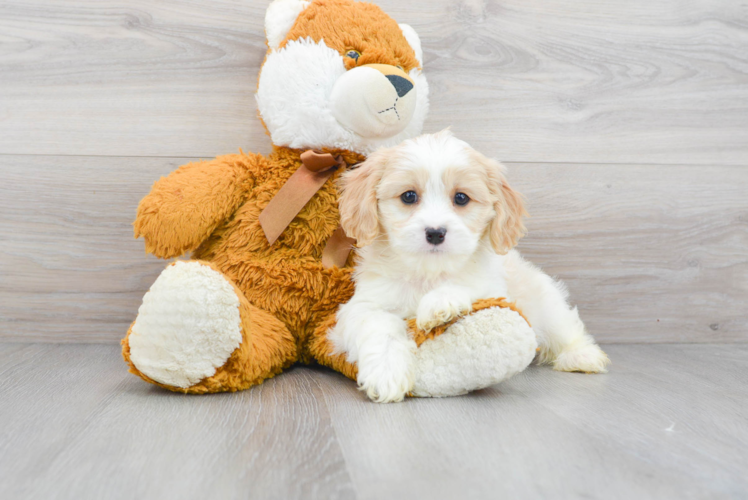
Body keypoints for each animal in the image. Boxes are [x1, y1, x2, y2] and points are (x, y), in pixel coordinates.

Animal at [332, 130, 608, 402]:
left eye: (461, 198)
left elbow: (465, 285)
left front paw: (439, 304)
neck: (427, 273)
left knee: (568, 329)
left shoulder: (494, 289)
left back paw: (583, 357)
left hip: (547, 305)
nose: (435, 233)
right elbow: (380, 327)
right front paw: (387, 375)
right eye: (409, 196)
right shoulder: (362, 306)